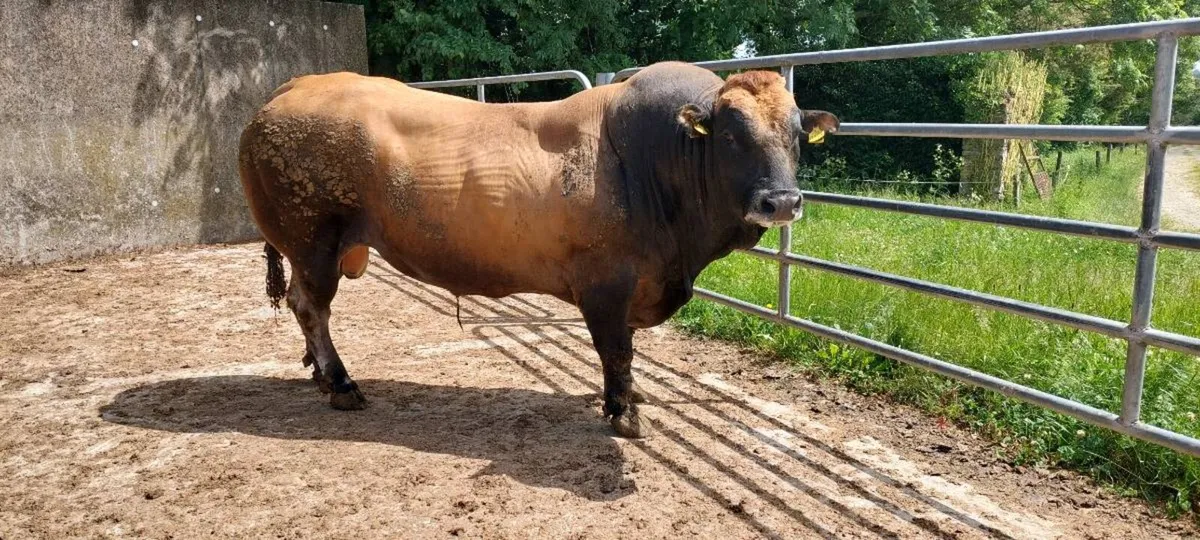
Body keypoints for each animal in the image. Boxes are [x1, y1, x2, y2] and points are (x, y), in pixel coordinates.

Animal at [238, 61, 839, 438]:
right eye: (732, 136)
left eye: (794, 135)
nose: (782, 201)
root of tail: (290, 89)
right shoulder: (606, 285)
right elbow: (617, 352)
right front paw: (622, 413)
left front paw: (632, 398)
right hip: (313, 241)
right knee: (311, 307)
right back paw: (341, 383)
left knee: (302, 306)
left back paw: (320, 376)